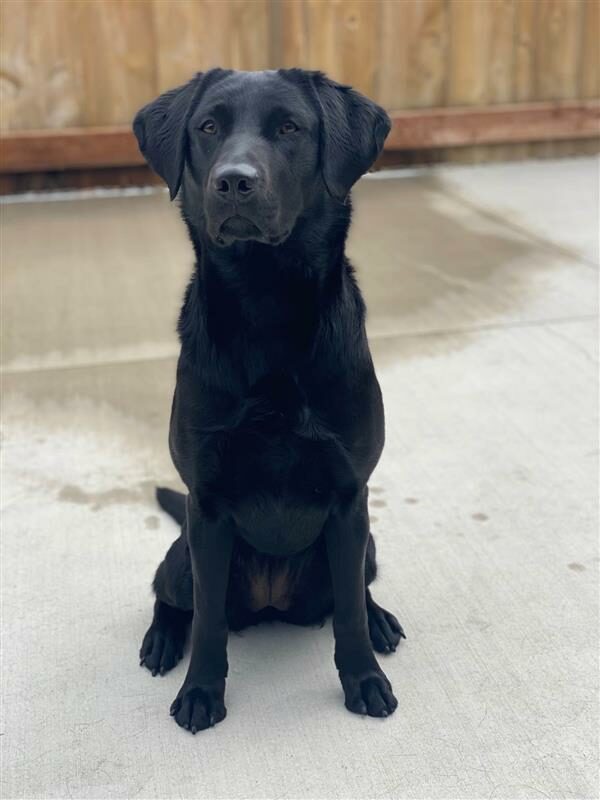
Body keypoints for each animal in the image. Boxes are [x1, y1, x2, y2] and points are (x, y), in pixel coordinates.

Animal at [134, 69, 406, 732]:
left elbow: (349, 615)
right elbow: (208, 621)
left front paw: (364, 679)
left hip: (367, 545)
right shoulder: (206, 506)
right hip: (182, 554)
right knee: (169, 594)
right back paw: (162, 639)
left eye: (289, 128)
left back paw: (380, 619)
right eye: (208, 126)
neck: (267, 303)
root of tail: (272, 602)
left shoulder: (349, 498)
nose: (233, 181)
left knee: (356, 589)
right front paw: (200, 692)